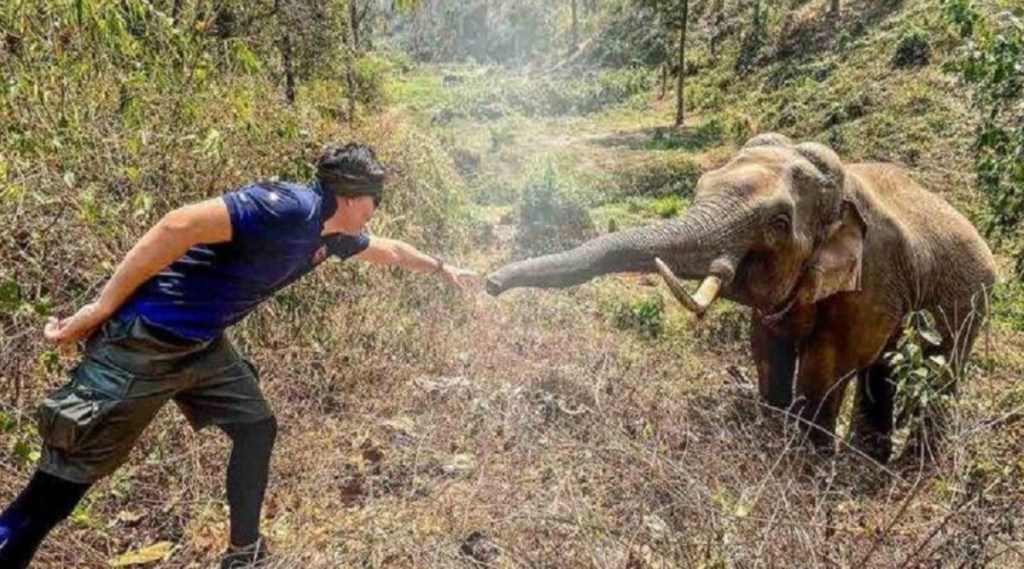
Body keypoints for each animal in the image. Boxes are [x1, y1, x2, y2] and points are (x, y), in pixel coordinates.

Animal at [483, 133, 995, 462]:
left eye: (779, 223)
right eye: (700, 186)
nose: (489, 284)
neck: (842, 187)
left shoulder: (872, 279)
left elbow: (828, 363)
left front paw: (805, 465)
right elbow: (767, 347)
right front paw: (772, 437)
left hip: (971, 299)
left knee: (942, 369)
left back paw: (909, 469)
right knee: (885, 369)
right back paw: (870, 462)